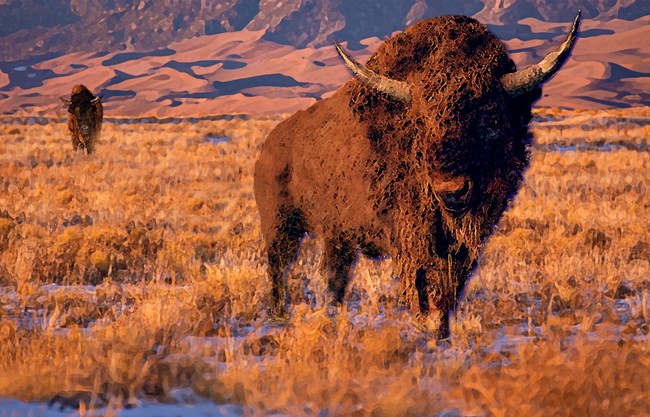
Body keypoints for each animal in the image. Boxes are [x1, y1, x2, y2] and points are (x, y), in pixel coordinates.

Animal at [252, 11, 576, 336]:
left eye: (493, 118)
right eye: (420, 122)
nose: (452, 191)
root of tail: (269, 145)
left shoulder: (461, 245)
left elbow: (448, 285)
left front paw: (442, 329)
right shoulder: (412, 237)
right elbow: (422, 280)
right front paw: (427, 326)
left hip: (336, 234)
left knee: (333, 275)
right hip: (280, 226)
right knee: (279, 267)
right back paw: (280, 316)